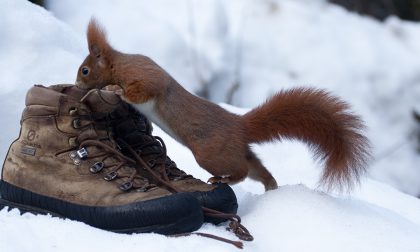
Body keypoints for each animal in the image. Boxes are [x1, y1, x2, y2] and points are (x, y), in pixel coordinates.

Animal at [76, 19, 370, 191]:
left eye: (85, 70)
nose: (77, 83)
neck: (119, 64)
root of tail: (240, 126)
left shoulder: (145, 77)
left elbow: (141, 91)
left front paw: (113, 90)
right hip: (236, 152)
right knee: (257, 169)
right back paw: (271, 186)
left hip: (211, 154)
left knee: (241, 171)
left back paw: (224, 180)